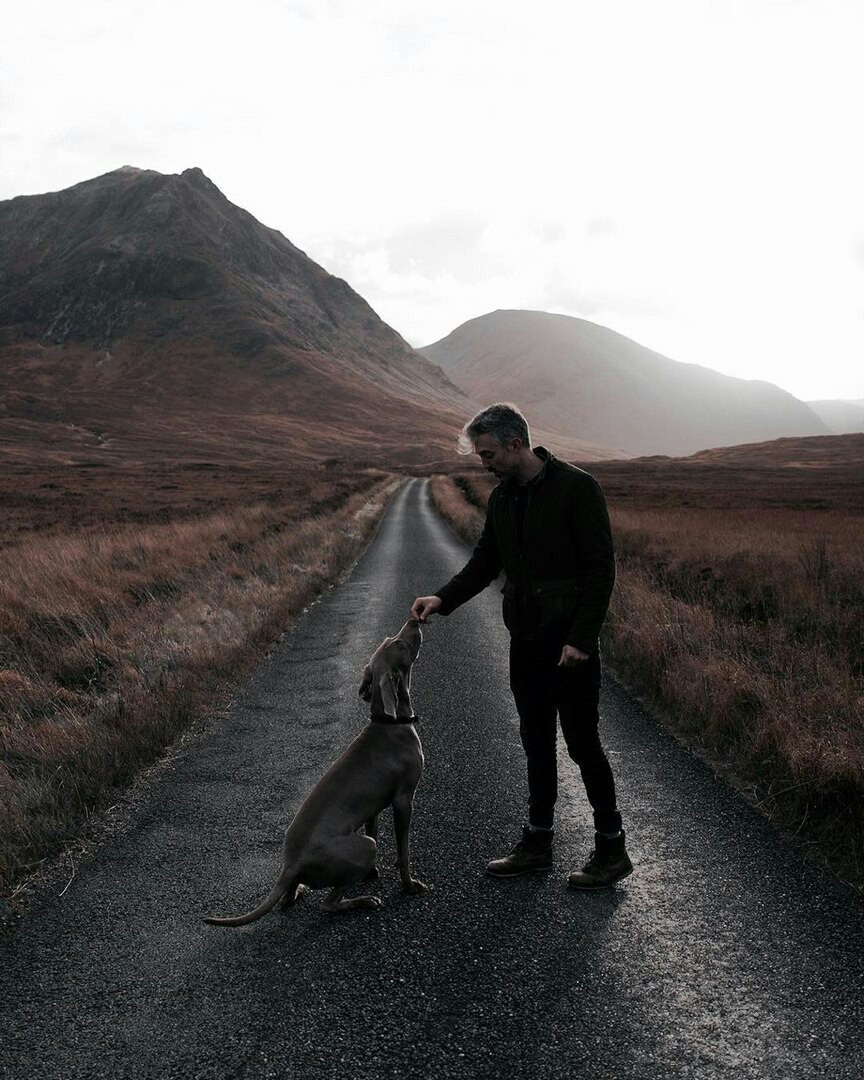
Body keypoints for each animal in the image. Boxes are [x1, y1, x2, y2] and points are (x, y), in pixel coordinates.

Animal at [206, 622, 427, 924]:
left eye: (391, 638)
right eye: (400, 645)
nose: (414, 622)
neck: (389, 723)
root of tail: (290, 864)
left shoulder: (375, 806)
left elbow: (375, 826)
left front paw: (374, 873)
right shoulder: (403, 799)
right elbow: (404, 850)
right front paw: (409, 884)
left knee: (289, 897)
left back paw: (298, 891)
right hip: (364, 847)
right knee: (328, 904)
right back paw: (364, 901)